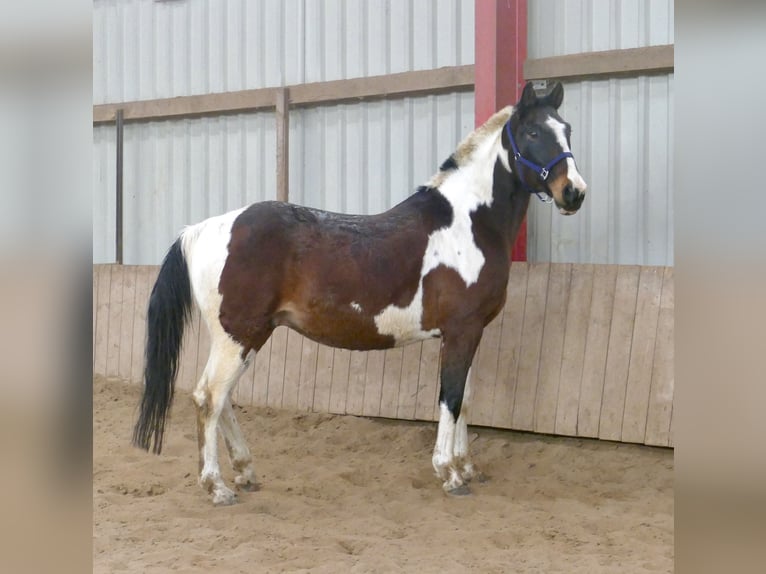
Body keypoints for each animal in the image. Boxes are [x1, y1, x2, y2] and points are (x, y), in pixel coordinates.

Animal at [132, 81, 587, 505]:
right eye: (532, 132)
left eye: (566, 130)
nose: (574, 192)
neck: (467, 223)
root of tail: (201, 230)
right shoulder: (461, 331)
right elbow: (451, 398)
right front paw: (450, 474)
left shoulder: (470, 333)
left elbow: (466, 399)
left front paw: (466, 466)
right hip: (238, 336)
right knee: (209, 397)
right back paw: (217, 487)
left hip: (245, 337)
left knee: (221, 398)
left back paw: (245, 471)